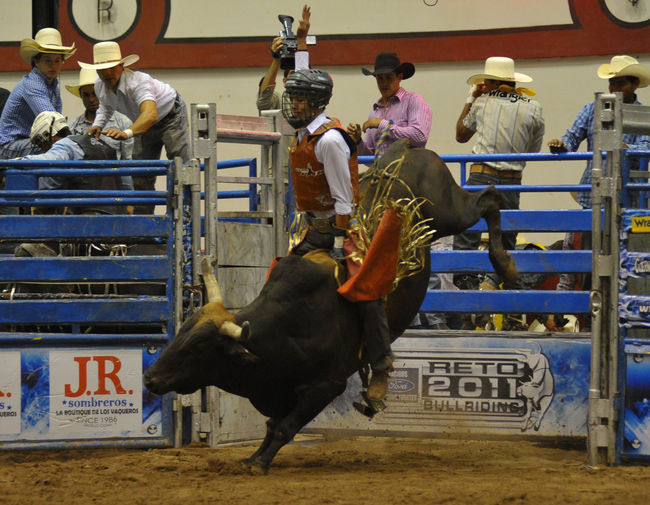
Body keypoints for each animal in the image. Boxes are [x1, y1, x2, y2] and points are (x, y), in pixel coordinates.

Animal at [143, 139, 517, 474]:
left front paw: (261, 463)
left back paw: (506, 266)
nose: (149, 377)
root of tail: (404, 150)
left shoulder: (326, 385)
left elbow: (285, 427)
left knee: (489, 198)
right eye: (180, 335)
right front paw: (253, 457)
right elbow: (272, 425)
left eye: (198, 347)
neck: (284, 329)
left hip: (447, 211)